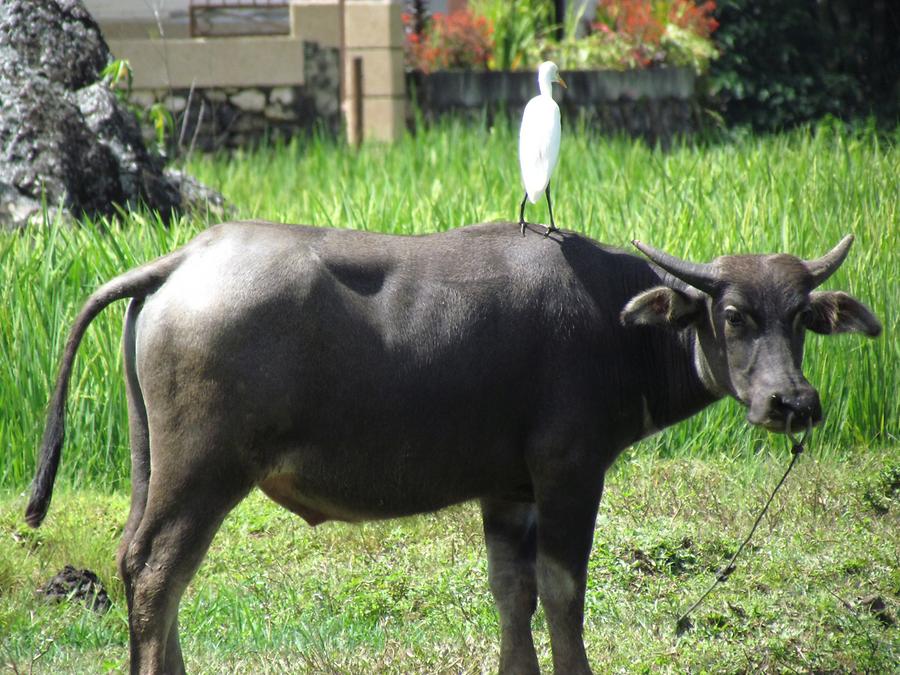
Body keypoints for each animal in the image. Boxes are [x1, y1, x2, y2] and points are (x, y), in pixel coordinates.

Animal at [26, 219, 880, 672]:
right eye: (733, 315)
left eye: (801, 317)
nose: (792, 402)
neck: (616, 323)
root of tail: (186, 260)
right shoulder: (569, 472)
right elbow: (563, 592)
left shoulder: (508, 489)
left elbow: (512, 592)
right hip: (205, 471)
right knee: (157, 569)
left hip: (155, 464)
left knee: (143, 566)